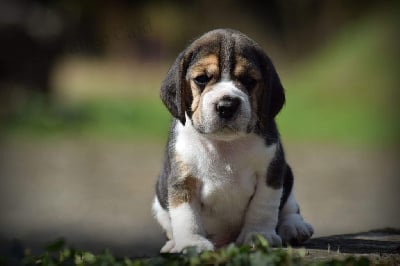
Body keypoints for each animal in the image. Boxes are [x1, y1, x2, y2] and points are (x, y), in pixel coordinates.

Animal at [152, 28, 314, 252]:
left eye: (249, 81)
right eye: (201, 79)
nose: (227, 105)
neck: (225, 143)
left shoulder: (271, 173)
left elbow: (262, 208)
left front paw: (258, 235)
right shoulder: (183, 180)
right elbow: (187, 216)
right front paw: (192, 243)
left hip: (287, 175)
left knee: (289, 207)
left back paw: (294, 227)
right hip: (158, 199)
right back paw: (174, 243)